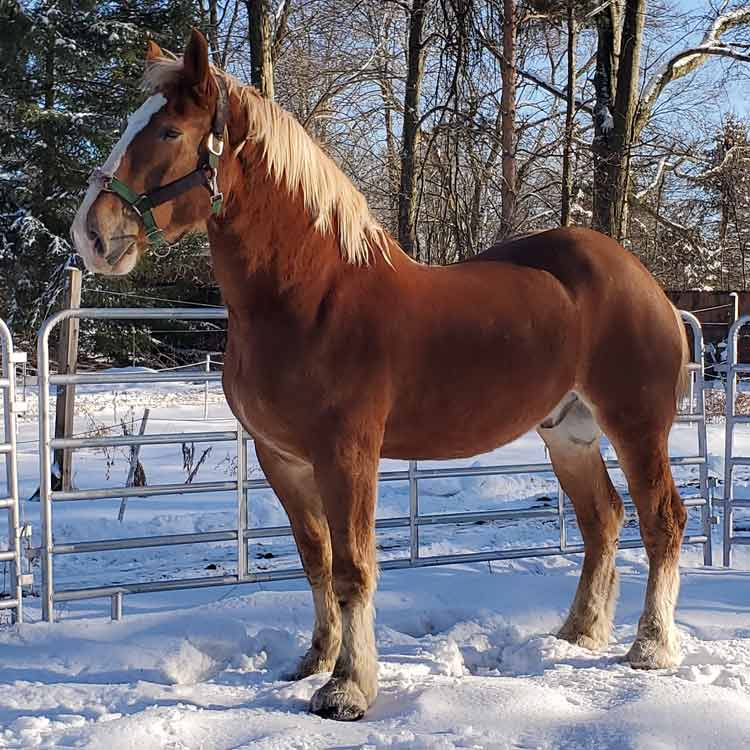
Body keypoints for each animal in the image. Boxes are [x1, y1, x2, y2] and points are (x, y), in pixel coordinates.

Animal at [73, 32, 692, 724]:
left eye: (170, 131)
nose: (92, 234)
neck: (310, 296)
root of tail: (645, 283)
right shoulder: (281, 457)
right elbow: (315, 560)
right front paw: (314, 661)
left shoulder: (347, 454)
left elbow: (353, 567)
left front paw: (348, 689)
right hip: (570, 434)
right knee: (603, 519)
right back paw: (579, 633)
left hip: (637, 427)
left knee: (662, 519)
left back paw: (651, 648)